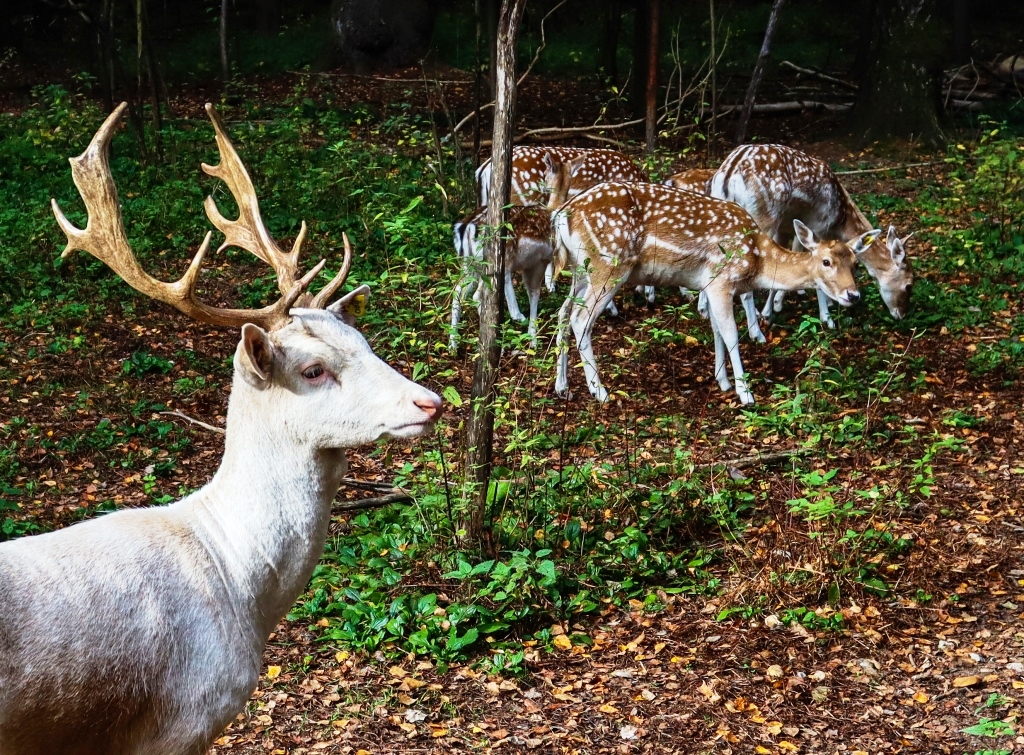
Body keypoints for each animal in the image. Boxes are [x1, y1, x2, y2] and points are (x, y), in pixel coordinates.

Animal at [552, 182, 872, 403]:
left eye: (855, 263)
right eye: (826, 262)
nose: (853, 295)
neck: (757, 260)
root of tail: (562, 216)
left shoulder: (710, 285)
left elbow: (716, 329)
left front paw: (723, 381)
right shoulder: (722, 278)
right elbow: (730, 332)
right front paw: (745, 393)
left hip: (581, 268)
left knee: (563, 311)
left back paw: (562, 385)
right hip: (609, 264)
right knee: (580, 318)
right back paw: (600, 391)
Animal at [708, 144, 917, 338]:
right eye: (909, 285)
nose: (902, 314)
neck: (840, 218)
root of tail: (728, 175)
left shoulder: (788, 228)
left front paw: (780, 303)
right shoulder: (818, 227)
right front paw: (826, 317)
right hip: (763, 216)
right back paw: (756, 333)